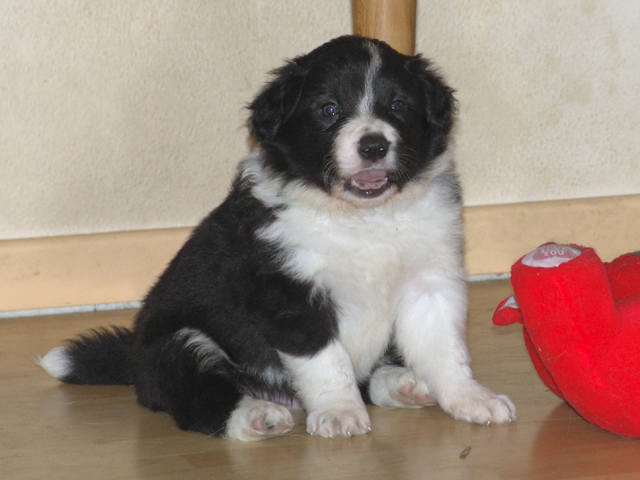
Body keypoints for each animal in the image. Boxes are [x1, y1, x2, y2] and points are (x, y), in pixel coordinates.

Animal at [39, 35, 516, 441]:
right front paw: (339, 413)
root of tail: (135, 360)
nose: (374, 145)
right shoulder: (289, 293)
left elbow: (446, 350)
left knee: (373, 378)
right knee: (202, 400)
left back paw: (404, 385)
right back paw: (258, 415)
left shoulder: (429, 281)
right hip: (180, 342)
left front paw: (472, 398)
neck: (362, 218)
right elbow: (328, 361)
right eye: (328, 109)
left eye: (398, 105)